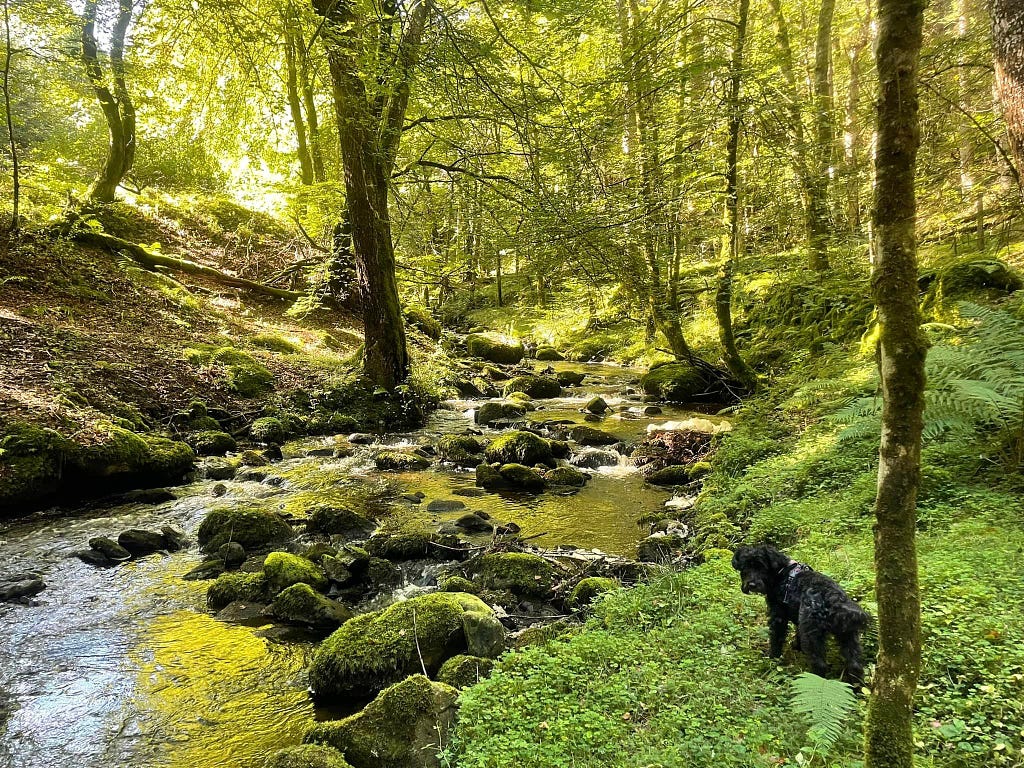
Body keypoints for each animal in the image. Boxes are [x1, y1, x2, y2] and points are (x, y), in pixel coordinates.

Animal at [733, 548, 868, 684]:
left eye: (761, 566)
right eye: (745, 567)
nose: (751, 585)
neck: (781, 572)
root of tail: (834, 600)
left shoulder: (778, 617)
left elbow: (776, 638)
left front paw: (773, 657)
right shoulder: (799, 619)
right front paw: (796, 647)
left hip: (812, 636)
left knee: (820, 664)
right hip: (848, 636)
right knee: (855, 665)